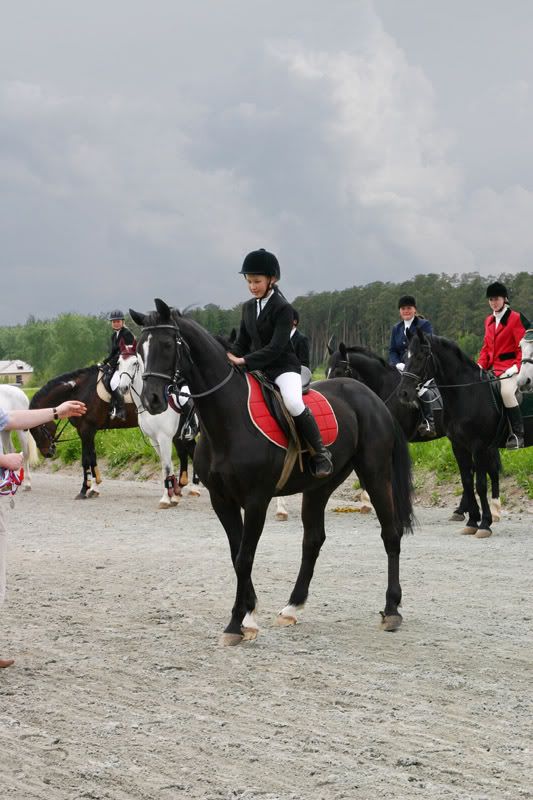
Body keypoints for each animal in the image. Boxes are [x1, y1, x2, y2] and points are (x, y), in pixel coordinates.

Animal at [29, 366, 138, 499]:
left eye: (38, 428)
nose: (47, 453)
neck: (78, 391)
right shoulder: (87, 432)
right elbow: (92, 458)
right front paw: (94, 489)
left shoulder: (86, 430)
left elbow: (86, 460)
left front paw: (84, 489)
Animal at [117, 344, 200, 508]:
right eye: (118, 363)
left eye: (135, 363)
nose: (123, 388)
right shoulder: (155, 440)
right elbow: (165, 465)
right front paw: (173, 494)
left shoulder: (164, 438)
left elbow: (166, 467)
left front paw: (166, 498)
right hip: (181, 438)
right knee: (190, 452)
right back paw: (188, 488)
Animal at [130, 298, 414, 645]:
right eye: (139, 350)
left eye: (168, 344)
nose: (153, 400)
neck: (227, 419)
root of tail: (372, 398)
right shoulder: (222, 500)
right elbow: (236, 553)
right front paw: (249, 614)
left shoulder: (256, 500)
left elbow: (244, 557)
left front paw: (236, 623)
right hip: (319, 486)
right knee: (313, 540)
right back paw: (293, 606)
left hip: (375, 473)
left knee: (391, 532)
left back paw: (392, 609)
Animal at [397, 329, 533, 538]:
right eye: (405, 356)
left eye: (420, 356)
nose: (403, 393)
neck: (466, 393)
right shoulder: (459, 446)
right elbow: (467, 481)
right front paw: (472, 521)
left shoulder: (479, 446)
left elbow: (480, 484)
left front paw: (484, 524)